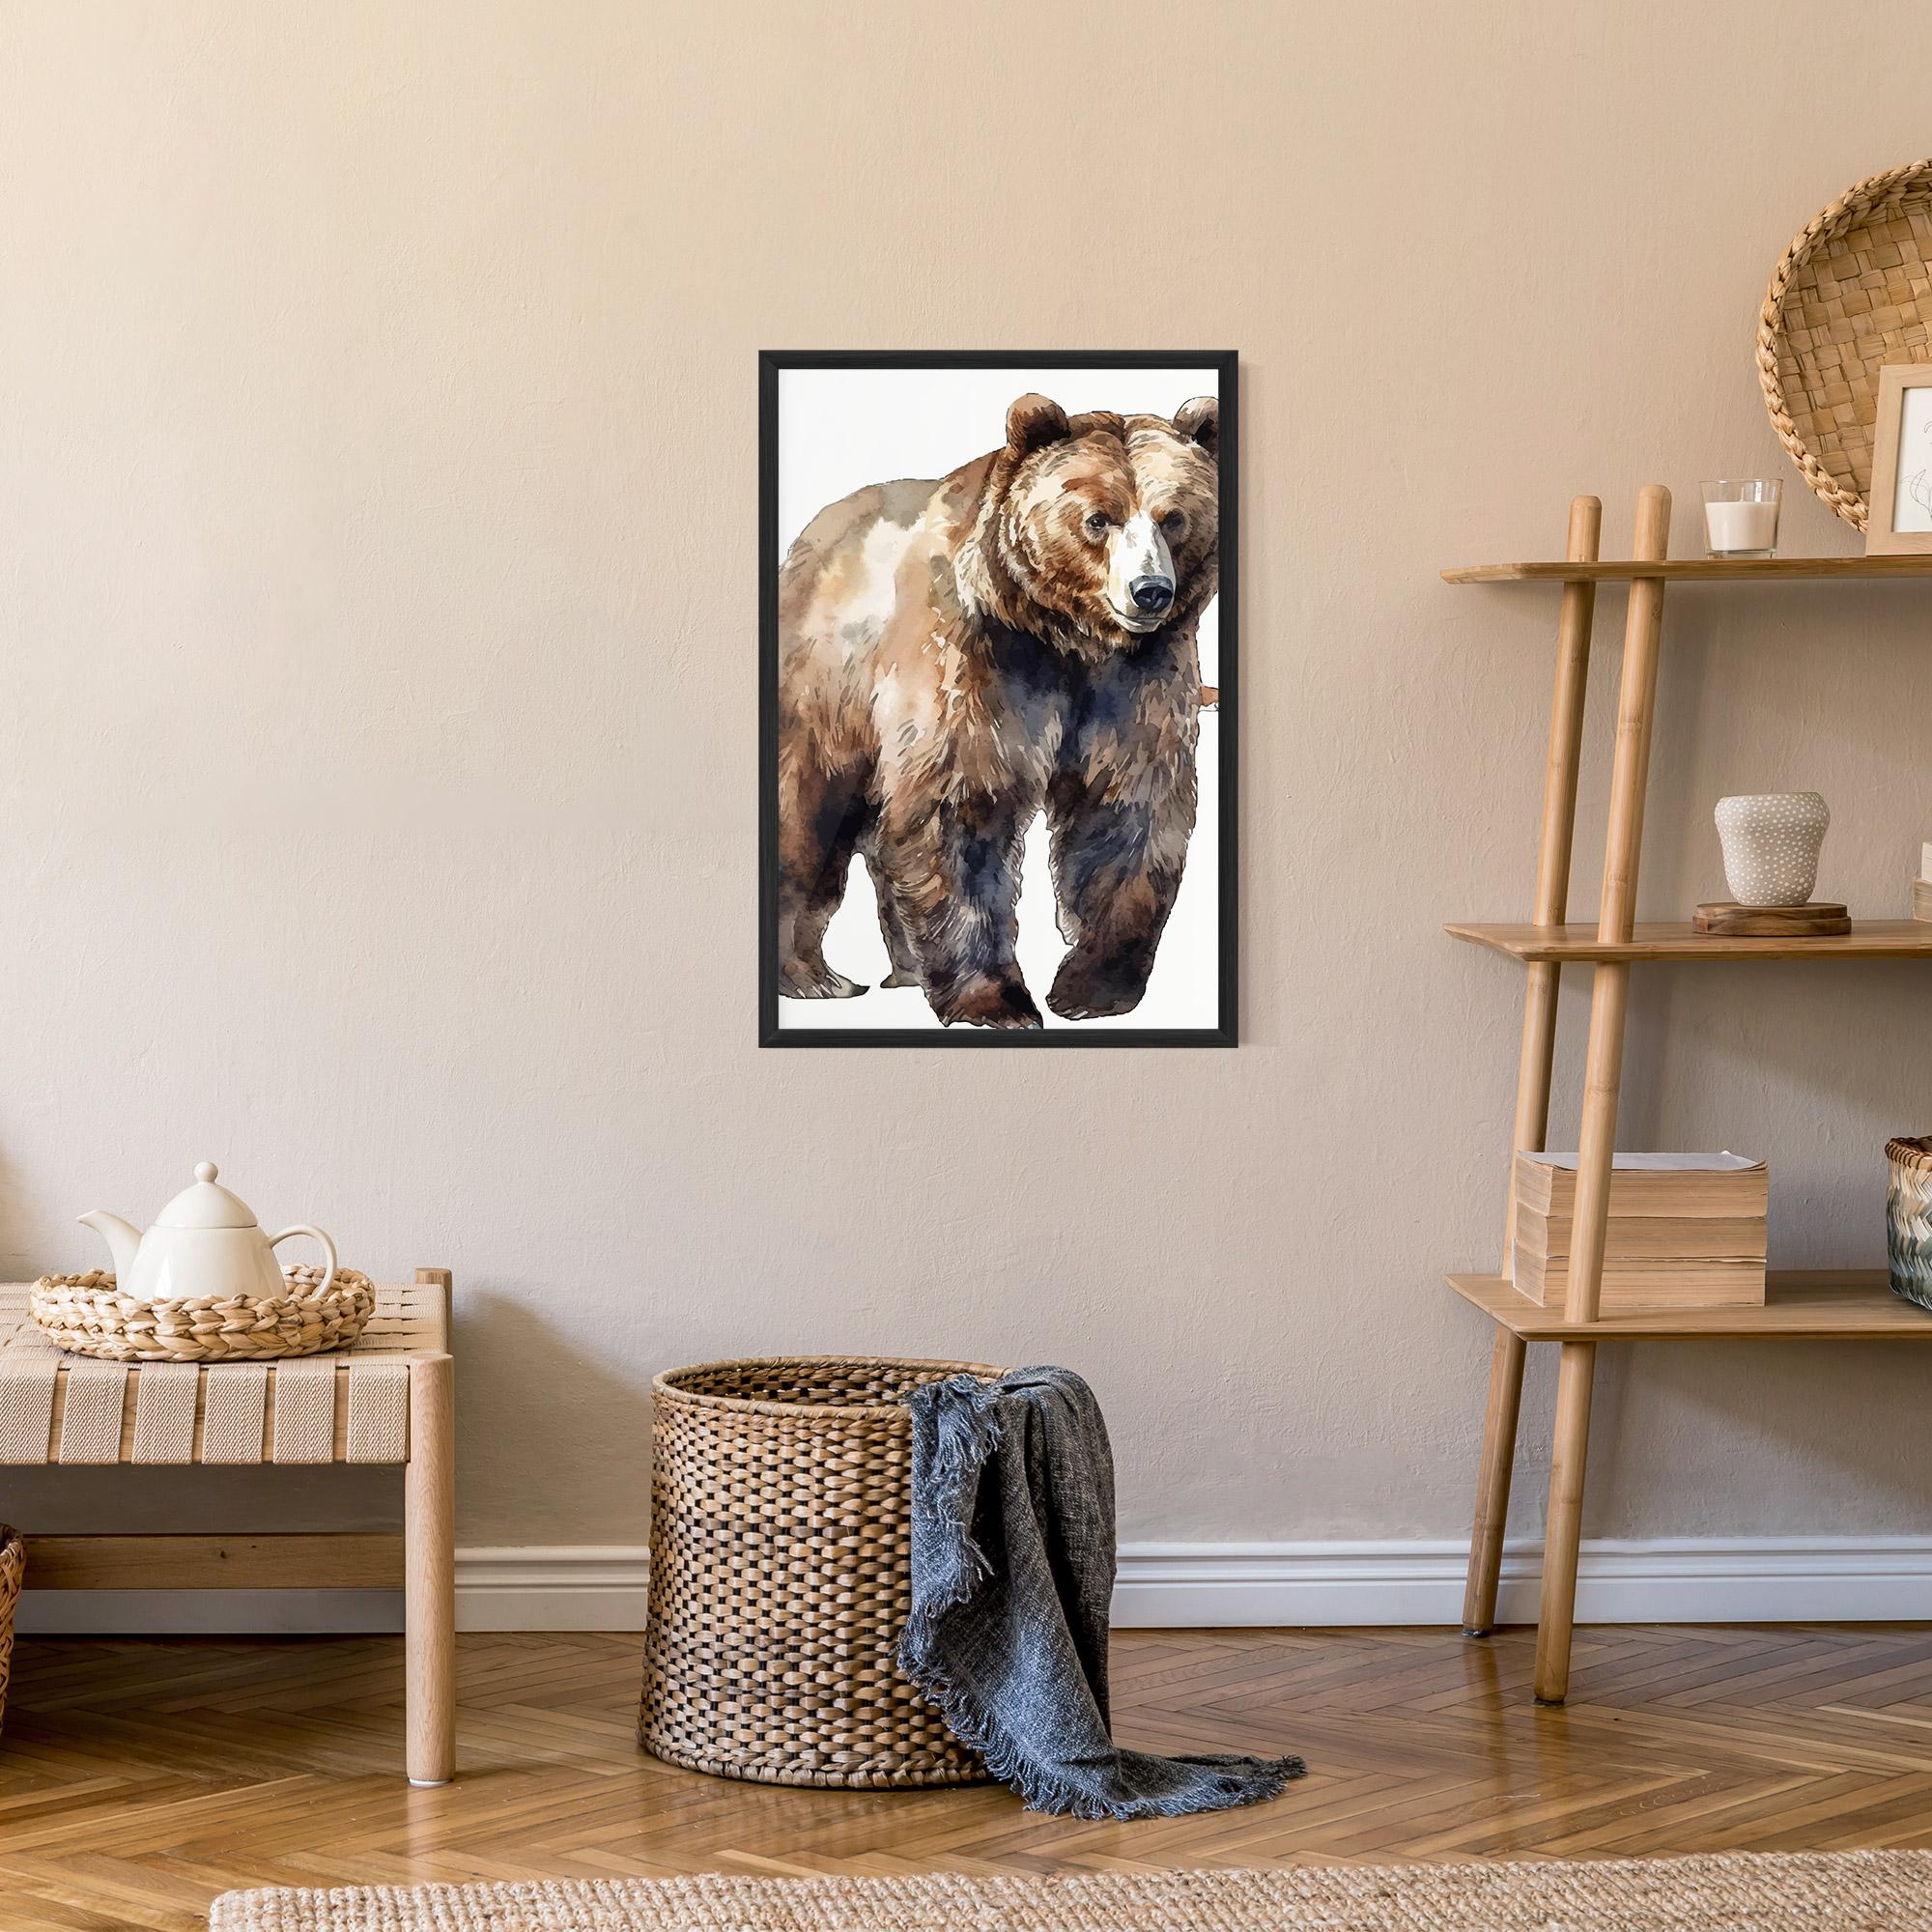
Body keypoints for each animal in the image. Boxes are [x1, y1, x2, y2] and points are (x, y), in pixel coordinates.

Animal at [775, 391, 1219, 1028]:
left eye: (1173, 517)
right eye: (1098, 519)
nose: (1150, 591)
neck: (1070, 639)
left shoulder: (1136, 682)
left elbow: (1126, 810)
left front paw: (1091, 988)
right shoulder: (978, 660)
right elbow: (963, 810)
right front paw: (996, 1001)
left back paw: (906, 969)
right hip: (827, 690)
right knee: (810, 812)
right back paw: (814, 976)